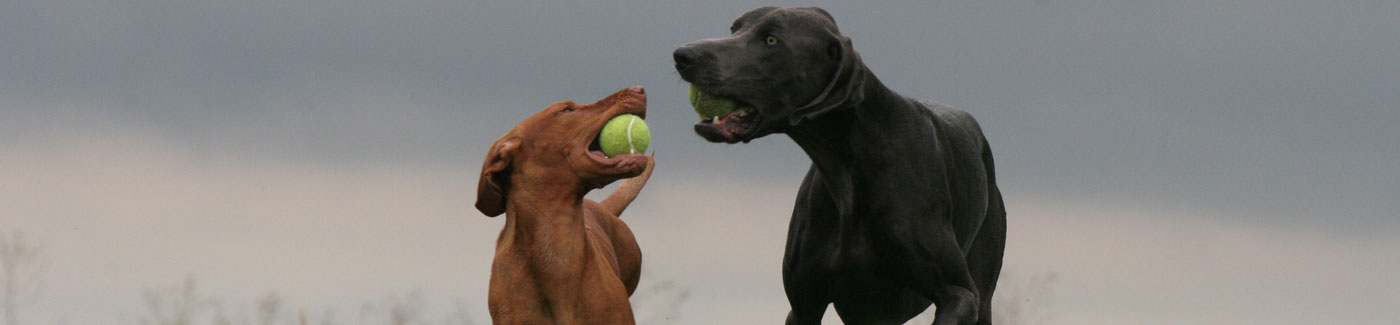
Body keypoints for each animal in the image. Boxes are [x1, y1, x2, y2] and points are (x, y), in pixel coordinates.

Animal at [669, 6, 1008, 323]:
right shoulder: (804, 305)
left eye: (771, 40)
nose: (683, 55)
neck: (850, 169)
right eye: (735, 28)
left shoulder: (959, 295)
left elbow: (956, 295)